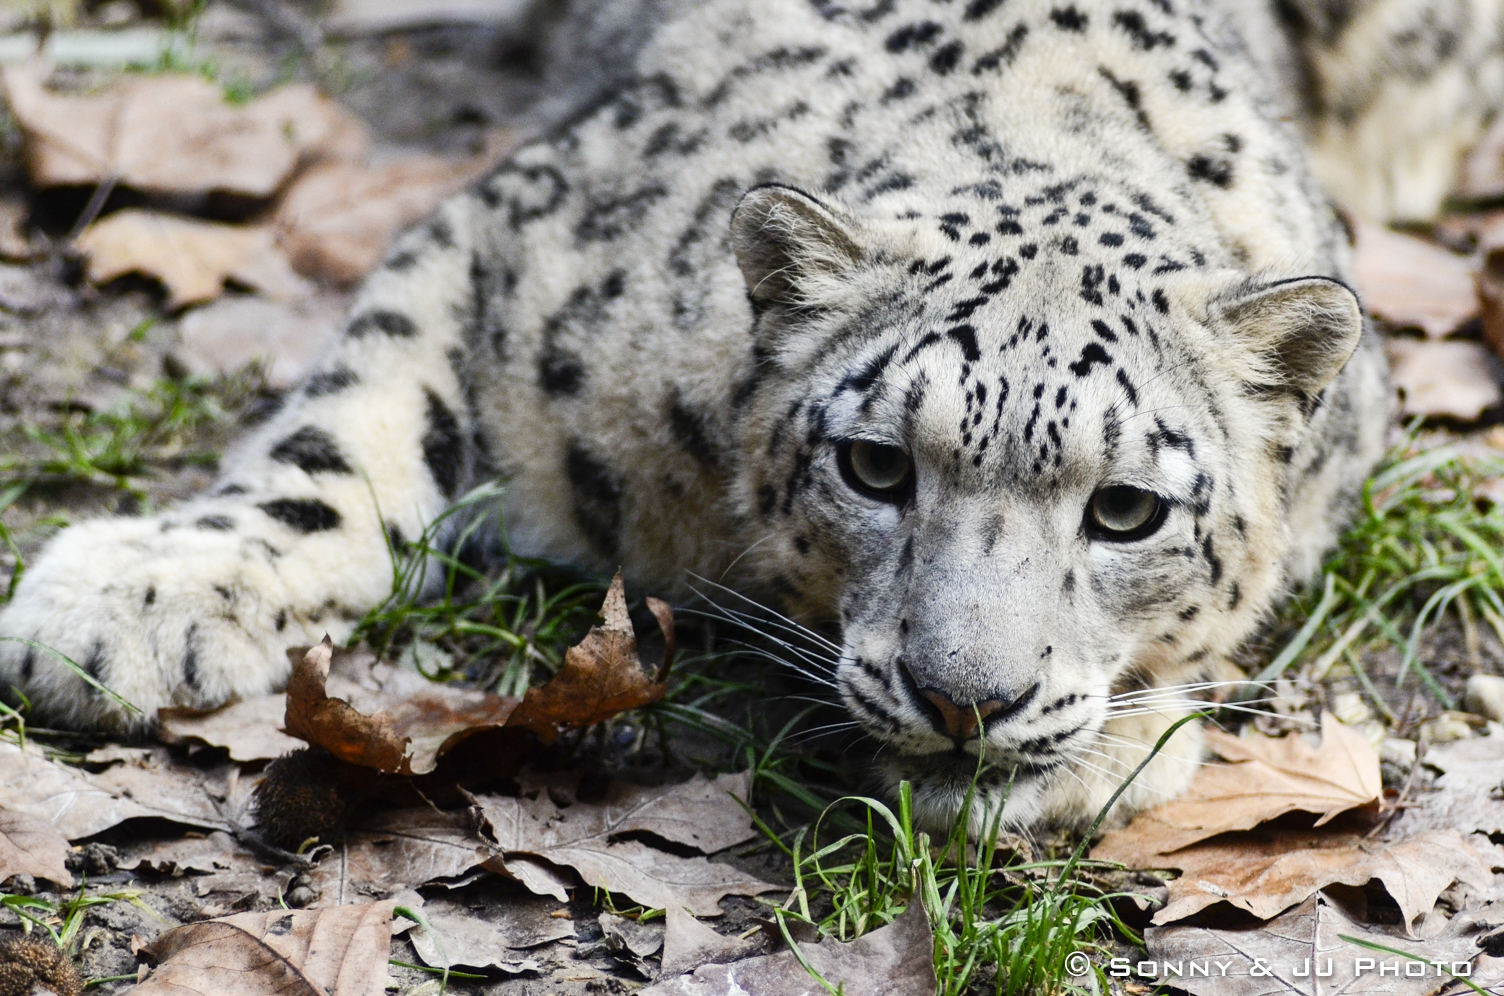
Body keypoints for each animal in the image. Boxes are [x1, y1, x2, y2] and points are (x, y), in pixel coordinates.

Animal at [1, 0, 1497, 832]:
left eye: (1124, 509)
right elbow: (349, 423)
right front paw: (131, 605)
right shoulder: (514, 236)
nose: (965, 699)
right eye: (876, 467)